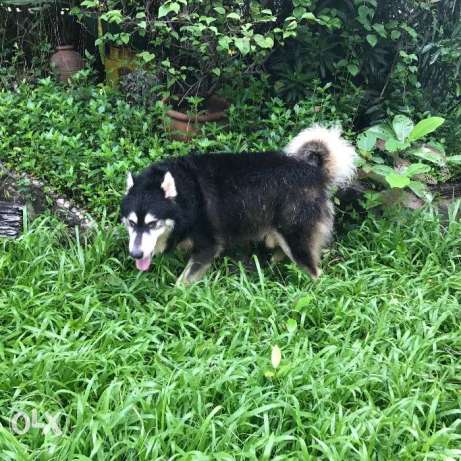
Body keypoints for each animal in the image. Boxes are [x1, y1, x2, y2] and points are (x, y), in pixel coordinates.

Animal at [119, 126, 356, 284]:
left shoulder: (208, 245)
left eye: (152, 224)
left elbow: (182, 282)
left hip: (296, 236)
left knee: (315, 272)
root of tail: (314, 172)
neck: (186, 195)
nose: (135, 255)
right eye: (131, 223)